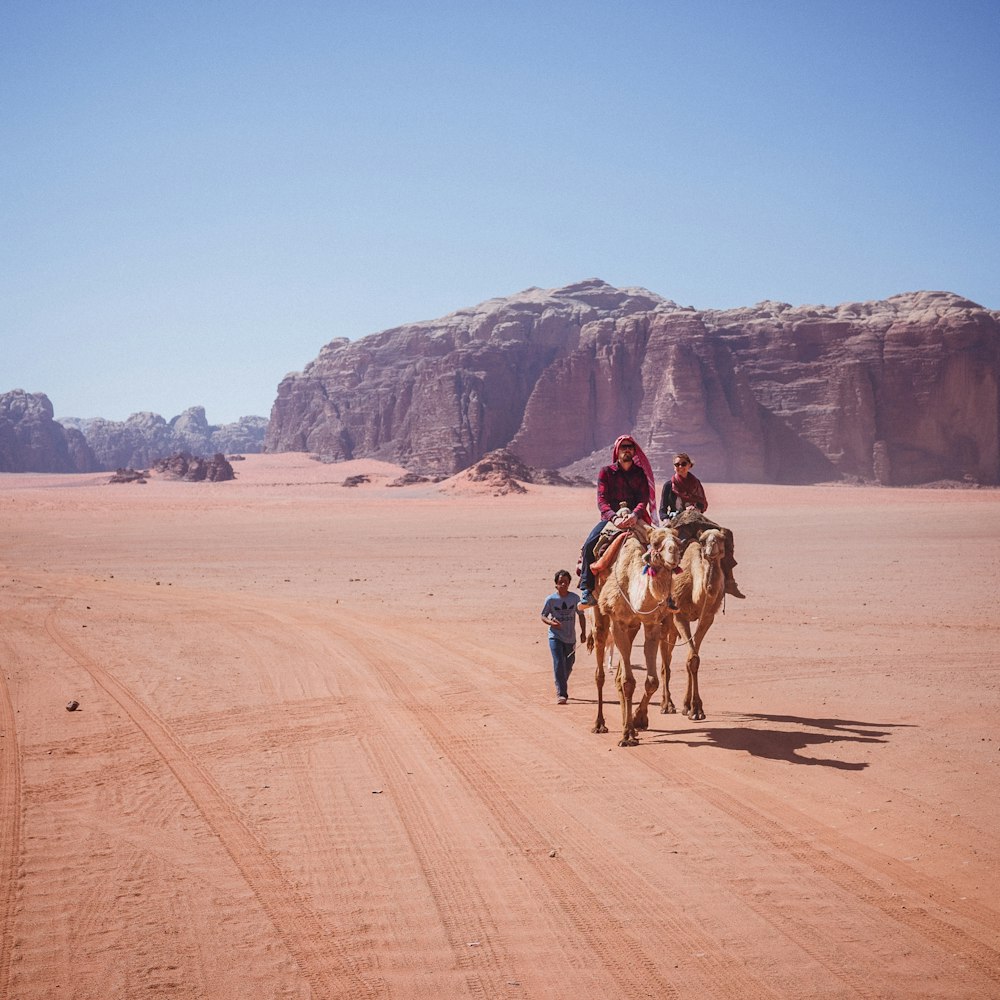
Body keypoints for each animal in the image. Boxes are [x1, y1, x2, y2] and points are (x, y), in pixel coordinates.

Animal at [588, 524, 684, 744]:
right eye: (655, 543)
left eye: (677, 539)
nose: (674, 553)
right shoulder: (617, 622)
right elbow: (628, 682)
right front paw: (627, 735)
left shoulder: (650, 624)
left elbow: (651, 681)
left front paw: (638, 720)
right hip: (600, 615)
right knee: (600, 672)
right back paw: (599, 724)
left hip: (632, 627)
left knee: (619, 675)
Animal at [660, 528, 724, 724]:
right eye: (703, 541)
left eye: (722, 539)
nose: (710, 550)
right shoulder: (680, 616)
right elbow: (692, 658)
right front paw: (695, 709)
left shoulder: (707, 617)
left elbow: (692, 658)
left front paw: (690, 707)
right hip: (663, 621)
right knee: (664, 661)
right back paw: (666, 705)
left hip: (672, 629)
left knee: (669, 656)